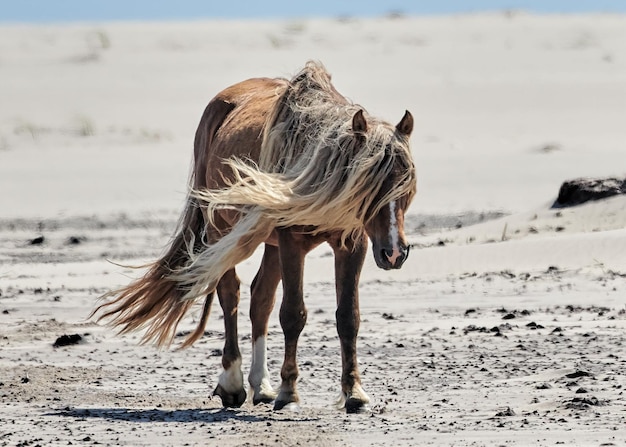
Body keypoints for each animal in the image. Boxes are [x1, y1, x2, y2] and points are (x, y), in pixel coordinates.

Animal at [92, 61, 414, 414]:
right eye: (371, 185)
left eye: (408, 184)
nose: (394, 253)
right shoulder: (291, 243)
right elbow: (293, 314)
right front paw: (290, 391)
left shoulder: (352, 244)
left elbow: (348, 317)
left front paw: (354, 391)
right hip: (222, 232)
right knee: (230, 294)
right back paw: (233, 384)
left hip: (269, 245)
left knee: (261, 299)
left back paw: (262, 385)